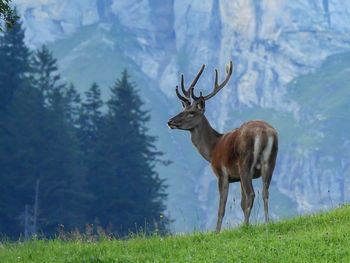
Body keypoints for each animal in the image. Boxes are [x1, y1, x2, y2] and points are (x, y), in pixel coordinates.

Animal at [167, 61, 278, 233]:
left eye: (191, 112)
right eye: (182, 109)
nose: (170, 121)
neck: (212, 148)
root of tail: (265, 132)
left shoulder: (222, 173)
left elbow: (222, 206)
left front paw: (217, 232)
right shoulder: (237, 177)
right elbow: (241, 202)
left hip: (245, 163)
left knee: (252, 194)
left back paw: (245, 226)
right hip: (270, 162)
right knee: (265, 192)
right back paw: (266, 223)